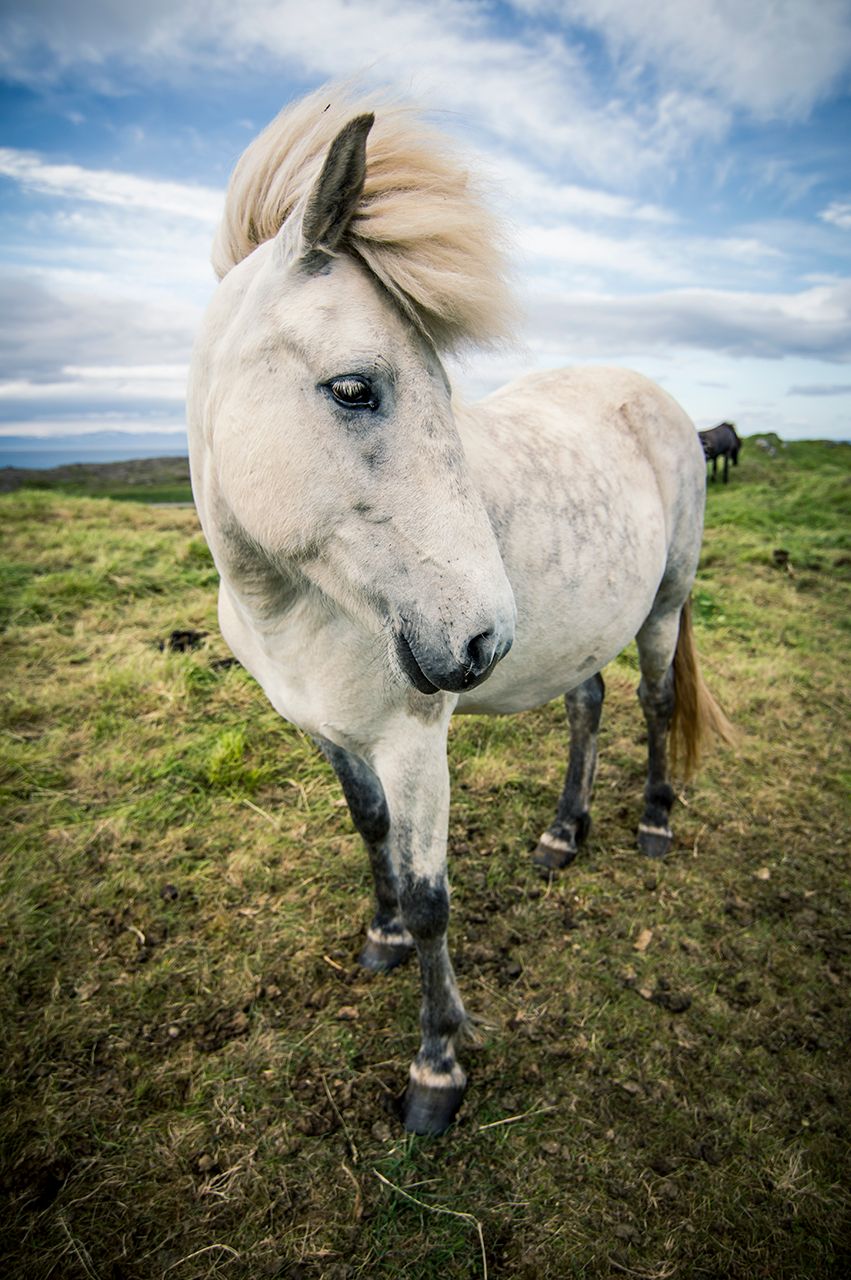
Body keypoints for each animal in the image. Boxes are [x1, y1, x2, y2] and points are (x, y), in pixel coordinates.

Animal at [189, 85, 726, 1136]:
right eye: (354, 388)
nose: (484, 639)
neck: (290, 607)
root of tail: (651, 395)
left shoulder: (413, 742)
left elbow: (434, 891)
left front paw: (436, 1065)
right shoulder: (328, 732)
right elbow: (371, 835)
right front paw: (382, 936)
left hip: (663, 606)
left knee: (650, 704)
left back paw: (651, 824)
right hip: (578, 633)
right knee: (588, 704)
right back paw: (562, 835)